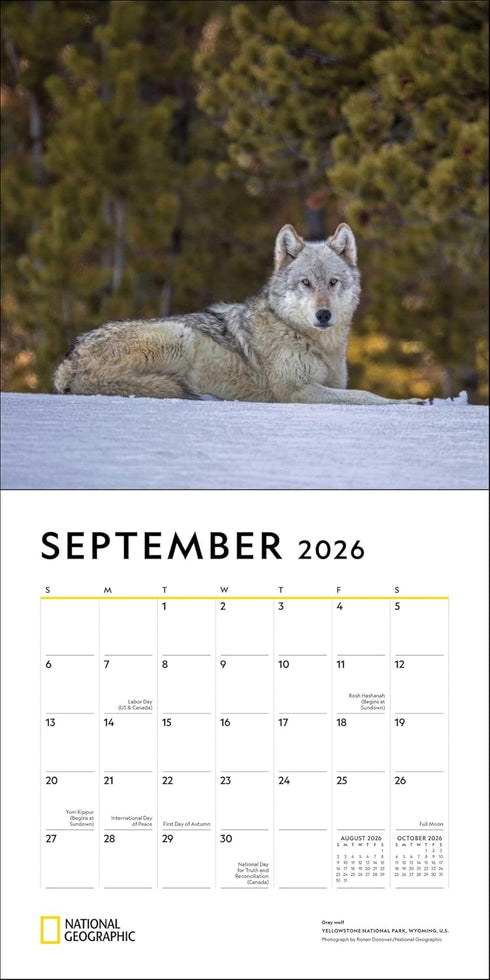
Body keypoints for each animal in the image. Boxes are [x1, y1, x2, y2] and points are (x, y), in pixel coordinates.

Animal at [53, 223, 423, 404]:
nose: (323, 315)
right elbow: (366, 396)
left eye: (332, 282)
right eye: (305, 283)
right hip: (181, 336)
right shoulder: (296, 391)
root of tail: (66, 365)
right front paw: (409, 403)